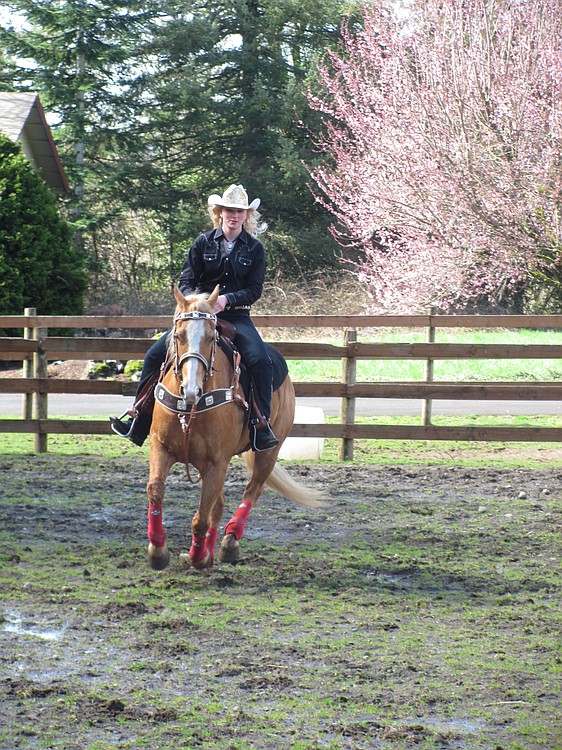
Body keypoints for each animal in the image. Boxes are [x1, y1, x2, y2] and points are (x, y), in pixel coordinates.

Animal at [144, 284, 326, 572]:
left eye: (211, 338)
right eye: (179, 335)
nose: (191, 390)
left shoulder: (217, 462)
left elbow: (200, 518)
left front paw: (197, 557)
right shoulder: (161, 447)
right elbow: (156, 491)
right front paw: (158, 550)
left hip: (267, 453)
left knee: (252, 490)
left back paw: (229, 543)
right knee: (218, 504)